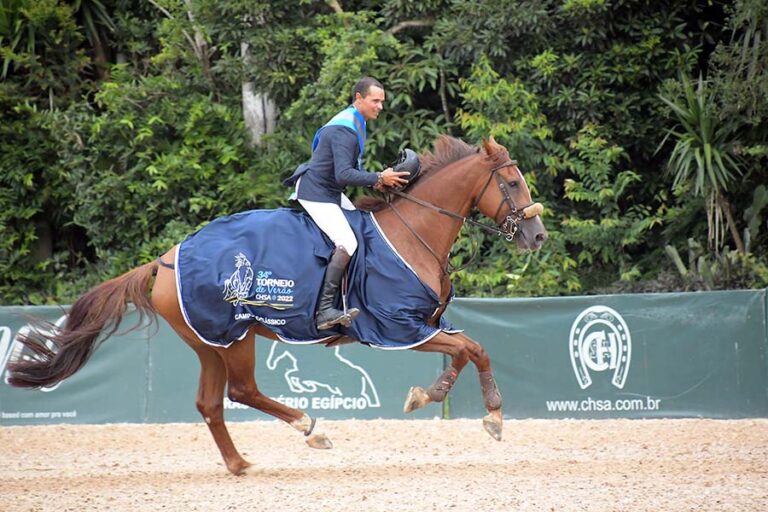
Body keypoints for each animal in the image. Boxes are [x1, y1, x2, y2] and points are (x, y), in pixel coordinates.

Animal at [6, 135, 544, 476]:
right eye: (513, 183)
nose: (537, 236)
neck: (414, 232)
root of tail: (166, 259)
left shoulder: (428, 324)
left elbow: (466, 350)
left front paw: (430, 395)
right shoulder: (399, 327)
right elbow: (472, 349)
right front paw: (491, 416)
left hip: (209, 341)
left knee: (210, 402)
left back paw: (239, 464)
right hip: (235, 336)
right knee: (242, 391)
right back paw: (310, 428)